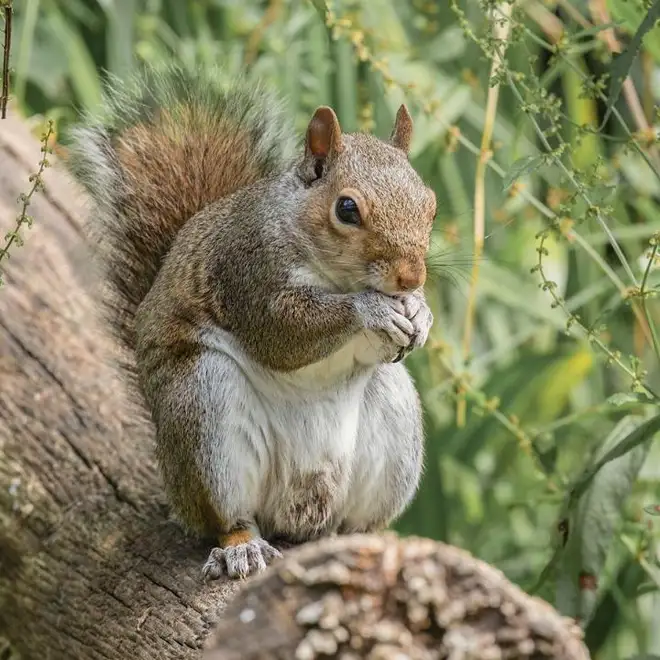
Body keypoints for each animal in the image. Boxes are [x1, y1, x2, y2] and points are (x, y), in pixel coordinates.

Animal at [67, 64, 436, 581]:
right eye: (346, 209)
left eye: (431, 203)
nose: (411, 276)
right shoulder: (246, 273)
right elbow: (283, 334)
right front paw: (373, 309)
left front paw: (419, 312)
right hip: (206, 407)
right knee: (229, 517)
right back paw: (241, 547)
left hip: (394, 419)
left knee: (350, 523)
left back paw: (365, 539)